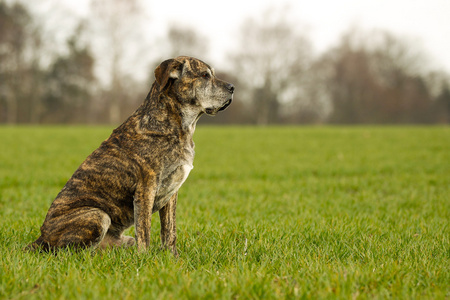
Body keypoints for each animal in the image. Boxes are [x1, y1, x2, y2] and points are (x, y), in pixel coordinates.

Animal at [27, 55, 236, 255]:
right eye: (205, 75)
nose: (233, 87)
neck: (177, 125)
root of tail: (40, 238)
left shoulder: (172, 193)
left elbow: (170, 231)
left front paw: (173, 257)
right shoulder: (146, 189)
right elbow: (144, 230)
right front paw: (144, 258)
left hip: (120, 236)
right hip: (98, 215)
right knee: (68, 252)